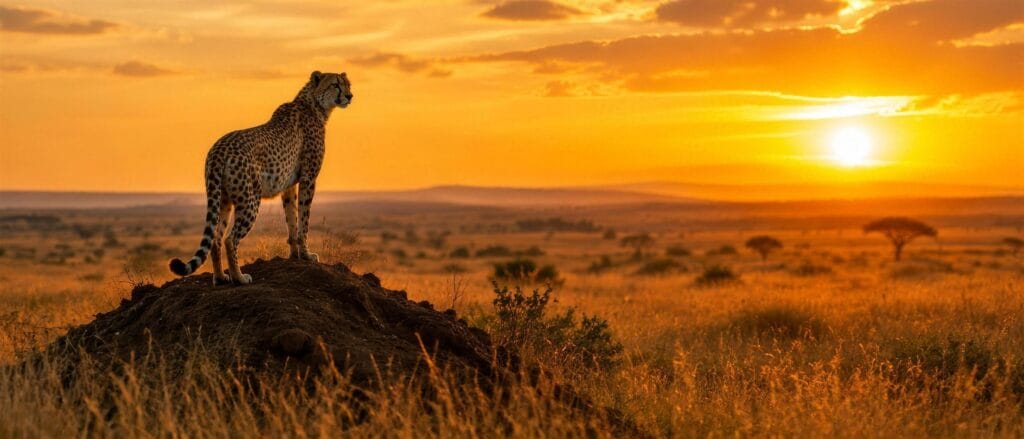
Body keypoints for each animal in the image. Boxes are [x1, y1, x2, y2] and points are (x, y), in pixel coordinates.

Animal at [169, 70, 353, 285]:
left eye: (347, 84)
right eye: (335, 84)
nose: (350, 96)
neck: (314, 105)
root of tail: (218, 149)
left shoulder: (288, 186)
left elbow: (292, 218)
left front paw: (295, 254)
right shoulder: (308, 178)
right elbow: (304, 219)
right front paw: (307, 255)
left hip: (223, 199)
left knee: (216, 238)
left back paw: (221, 277)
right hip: (249, 200)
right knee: (230, 239)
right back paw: (239, 277)